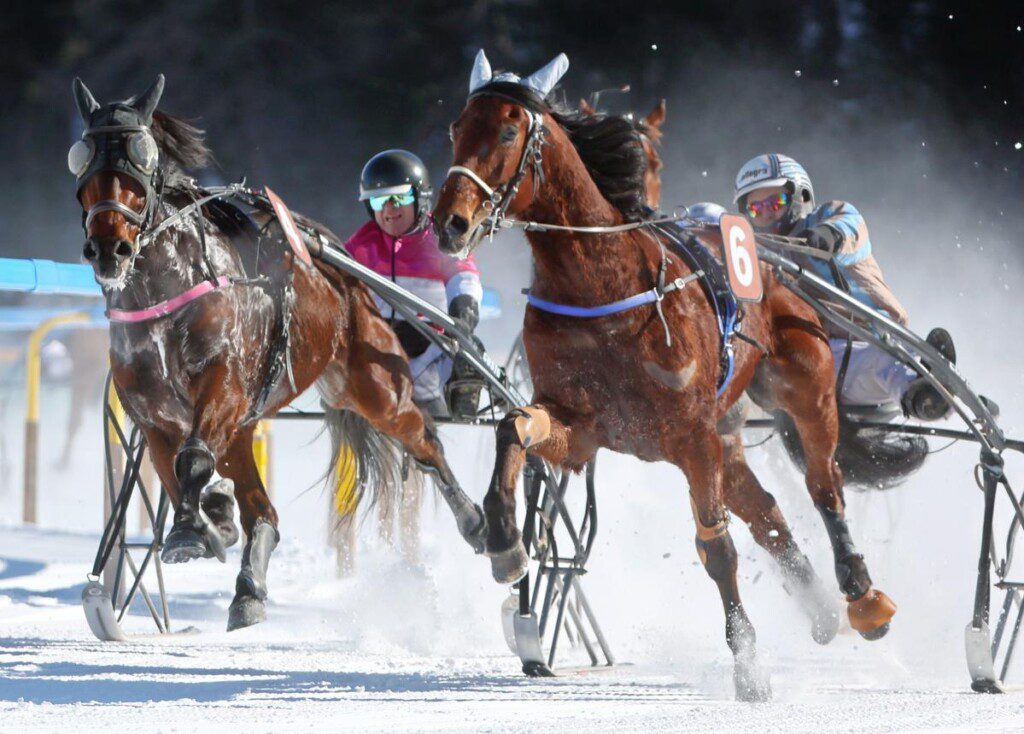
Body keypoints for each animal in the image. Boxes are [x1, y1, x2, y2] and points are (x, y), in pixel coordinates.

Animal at [72, 77, 487, 634]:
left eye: (141, 155)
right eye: (82, 160)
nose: (108, 248)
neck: (167, 290)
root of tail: (345, 277)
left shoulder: (223, 387)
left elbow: (192, 460)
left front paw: (192, 529)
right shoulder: (154, 416)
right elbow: (178, 472)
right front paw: (212, 520)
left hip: (374, 382)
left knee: (424, 441)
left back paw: (482, 526)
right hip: (255, 422)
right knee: (263, 513)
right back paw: (246, 584)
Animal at [434, 52, 897, 700]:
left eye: (505, 131)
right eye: (456, 128)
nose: (448, 222)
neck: (603, 286)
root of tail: (778, 259)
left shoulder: (691, 434)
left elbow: (716, 547)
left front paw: (749, 669)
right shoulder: (582, 428)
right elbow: (513, 428)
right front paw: (503, 538)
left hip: (803, 383)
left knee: (824, 486)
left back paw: (860, 596)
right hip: (728, 431)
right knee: (766, 509)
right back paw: (821, 608)